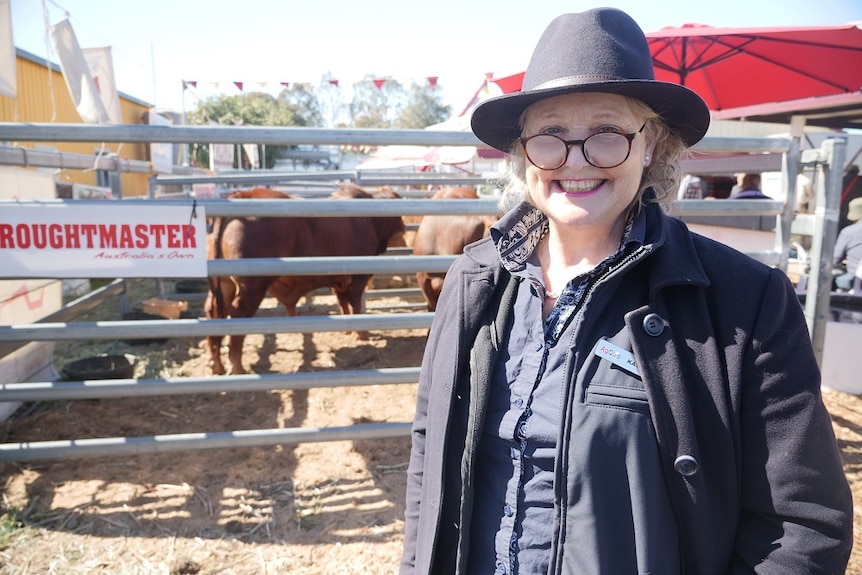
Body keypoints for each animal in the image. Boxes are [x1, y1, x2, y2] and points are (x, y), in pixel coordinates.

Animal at [206, 186, 404, 378]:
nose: (403, 226)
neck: (370, 220)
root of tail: (241, 195)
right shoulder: (357, 277)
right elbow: (355, 303)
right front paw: (362, 334)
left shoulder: (339, 280)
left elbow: (343, 303)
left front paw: (347, 329)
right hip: (252, 286)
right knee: (238, 314)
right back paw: (238, 367)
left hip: (225, 283)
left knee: (214, 311)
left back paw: (217, 365)